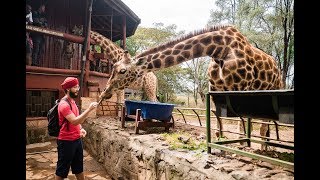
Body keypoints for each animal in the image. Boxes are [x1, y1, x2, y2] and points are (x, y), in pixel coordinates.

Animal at [97, 24, 282, 150]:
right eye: (113, 68)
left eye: (122, 71)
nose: (103, 93)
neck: (219, 50)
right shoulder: (215, 91)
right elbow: (218, 120)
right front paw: (220, 141)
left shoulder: (240, 88)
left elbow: (242, 123)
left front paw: (241, 145)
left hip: (269, 91)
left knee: (264, 124)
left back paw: (264, 148)